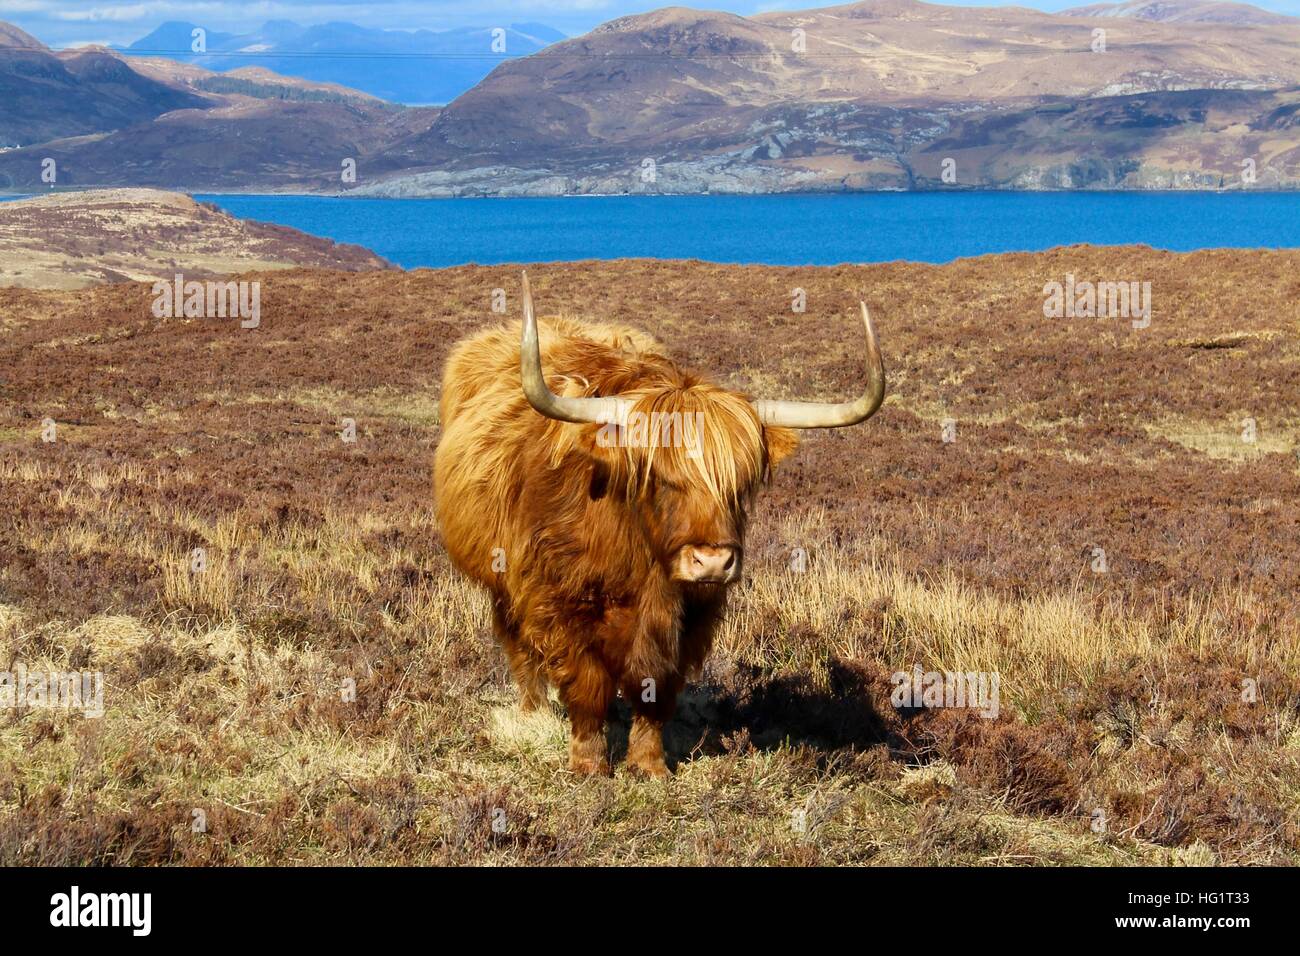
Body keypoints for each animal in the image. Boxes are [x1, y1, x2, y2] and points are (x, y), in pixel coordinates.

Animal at [436, 274, 883, 780]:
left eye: (741, 483)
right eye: (661, 478)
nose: (712, 561)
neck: (643, 565)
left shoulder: (692, 617)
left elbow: (657, 689)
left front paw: (649, 765)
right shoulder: (560, 601)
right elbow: (586, 684)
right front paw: (589, 764)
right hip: (501, 581)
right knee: (520, 649)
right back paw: (532, 712)